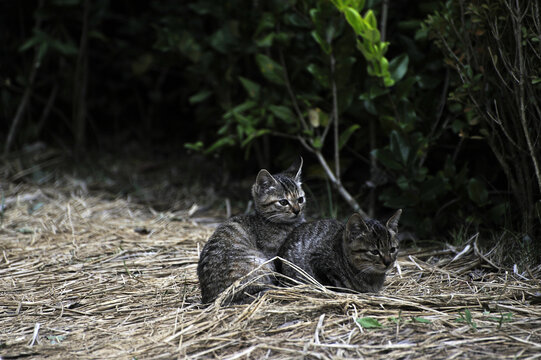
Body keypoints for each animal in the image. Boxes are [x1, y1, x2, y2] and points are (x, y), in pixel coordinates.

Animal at [196, 158, 306, 304]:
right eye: (283, 202)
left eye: (300, 199)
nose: (297, 210)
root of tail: (210, 298)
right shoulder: (273, 254)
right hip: (259, 264)